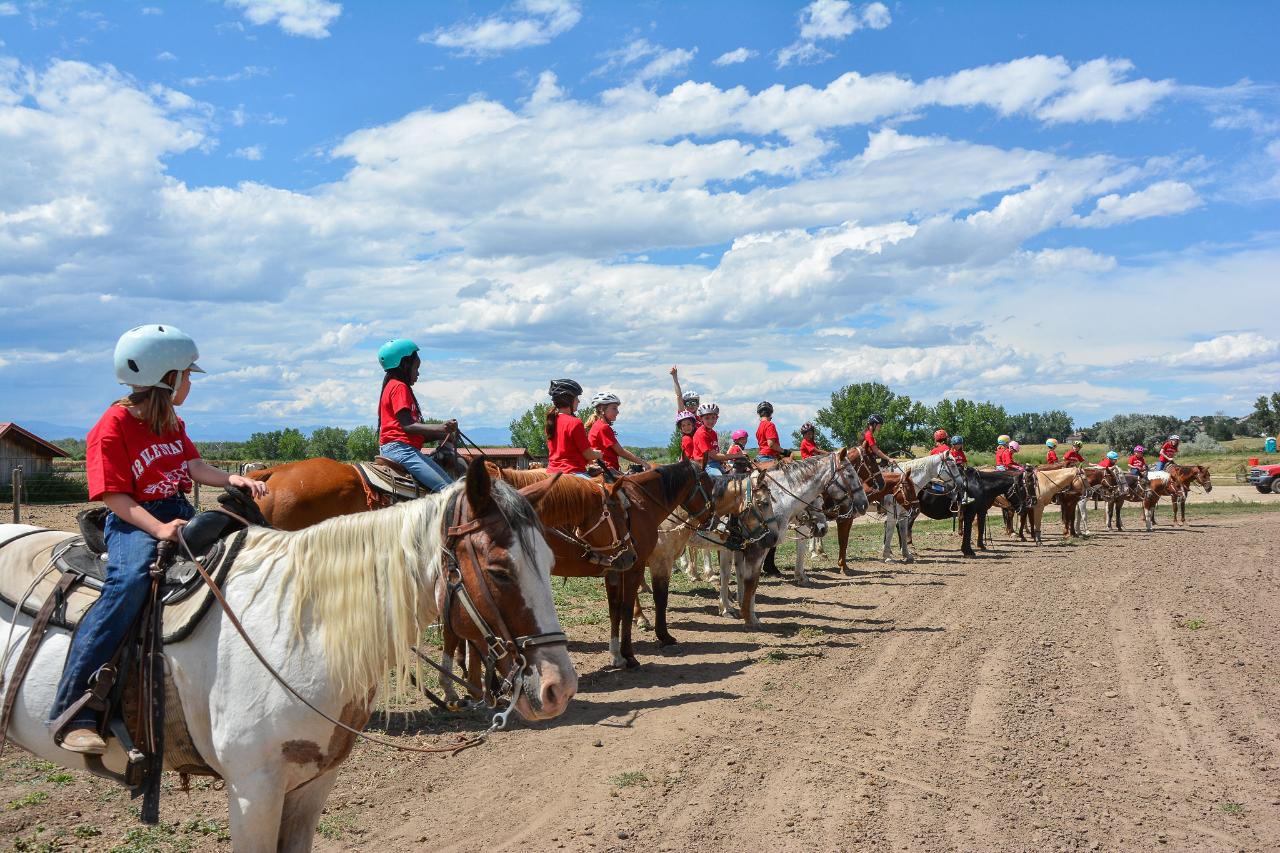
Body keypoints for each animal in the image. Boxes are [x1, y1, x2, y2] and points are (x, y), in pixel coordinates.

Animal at [0, 466, 570, 850]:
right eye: (498, 569)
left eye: (548, 559)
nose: (557, 687)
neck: (299, 628)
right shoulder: (253, 790)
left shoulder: (313, 784)